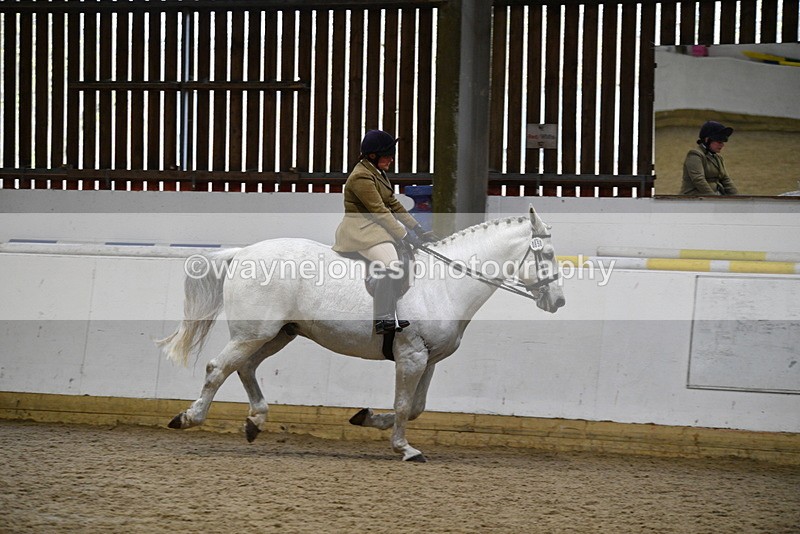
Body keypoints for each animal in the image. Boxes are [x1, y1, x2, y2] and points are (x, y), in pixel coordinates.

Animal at [158, 205, 565, 462]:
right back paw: (189, 418)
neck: (446, 283)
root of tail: (243, 253)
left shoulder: (428, 358)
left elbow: (416, 407)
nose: (558, 301)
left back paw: (254, 421)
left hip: (277, 334)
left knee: (244, 368)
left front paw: (366, 418)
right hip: (253, 333)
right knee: (217, 369)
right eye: (545, 255)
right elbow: (403, 405)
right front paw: (405, 449)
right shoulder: (411, 356)